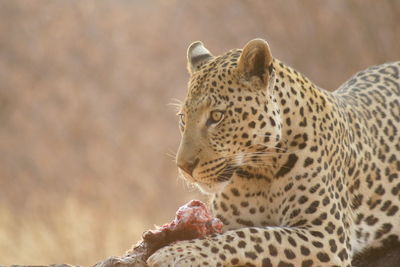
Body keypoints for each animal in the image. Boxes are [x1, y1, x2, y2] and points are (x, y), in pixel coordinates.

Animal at [148, 38, 400, 266]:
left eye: (217, 116)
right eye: (183, 118)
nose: (184, 167)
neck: (258, 172)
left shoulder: (326, 235)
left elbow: (255, 236)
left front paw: (177, 252)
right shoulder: (225, 220)